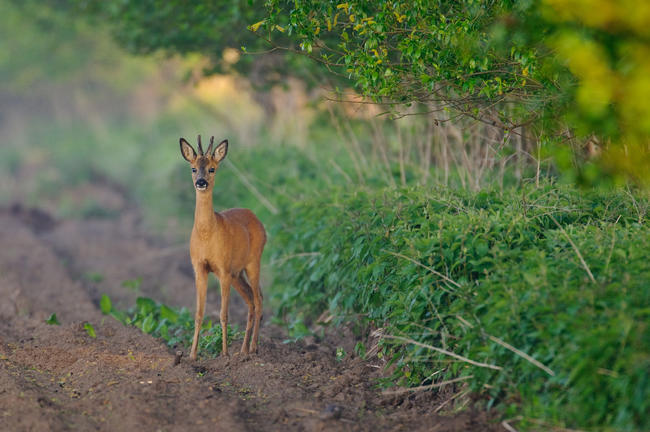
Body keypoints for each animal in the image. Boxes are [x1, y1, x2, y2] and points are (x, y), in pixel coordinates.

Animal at [177, 136, 266, 362]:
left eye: (212, 168)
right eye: (193, 168)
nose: (201, 182)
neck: (207, 235)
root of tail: (257, 218)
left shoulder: (223, 269)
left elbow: (223, 314)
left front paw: (224, 353)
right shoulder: (200, 268)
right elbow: (199, 313)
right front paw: (192, 355)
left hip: (253, 262)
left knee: (259, 299)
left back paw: (253, 348)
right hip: (237, 273)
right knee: (251, 300)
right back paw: (243, 350)